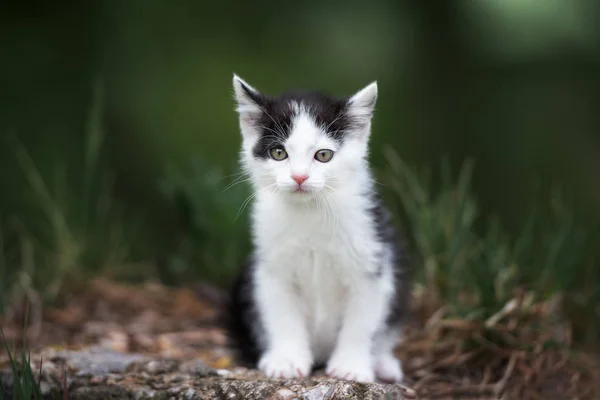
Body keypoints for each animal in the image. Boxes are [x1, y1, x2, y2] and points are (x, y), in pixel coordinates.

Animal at [227, 75, 410, 384]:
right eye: (279, 152)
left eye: (323, 155)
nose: (299, 177)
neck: (310, 212)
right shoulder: (271, 267)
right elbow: (281, 313)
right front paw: (287, 360)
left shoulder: (372, 259)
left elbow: (363, 320)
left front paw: (351, 365)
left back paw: (384, 364)